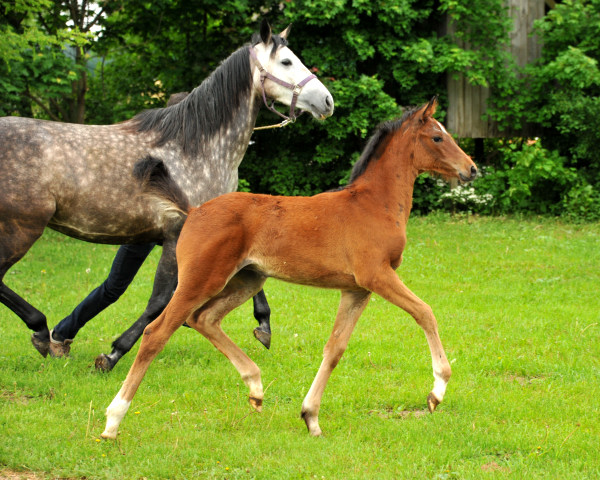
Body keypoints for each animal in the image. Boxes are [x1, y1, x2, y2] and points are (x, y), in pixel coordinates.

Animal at [103, 97, 478, 438]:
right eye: (437, 137)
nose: (472, 169)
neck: (374, 204)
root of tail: (194, 211)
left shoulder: (355, 289)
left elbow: (335, 348)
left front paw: (311, 417)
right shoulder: (377, 274)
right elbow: (425, 312)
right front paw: (436, 391)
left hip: (246, 281)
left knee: (203, 319)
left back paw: (255, 388)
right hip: (200, 280)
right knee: (157, 332)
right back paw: (113, 421)